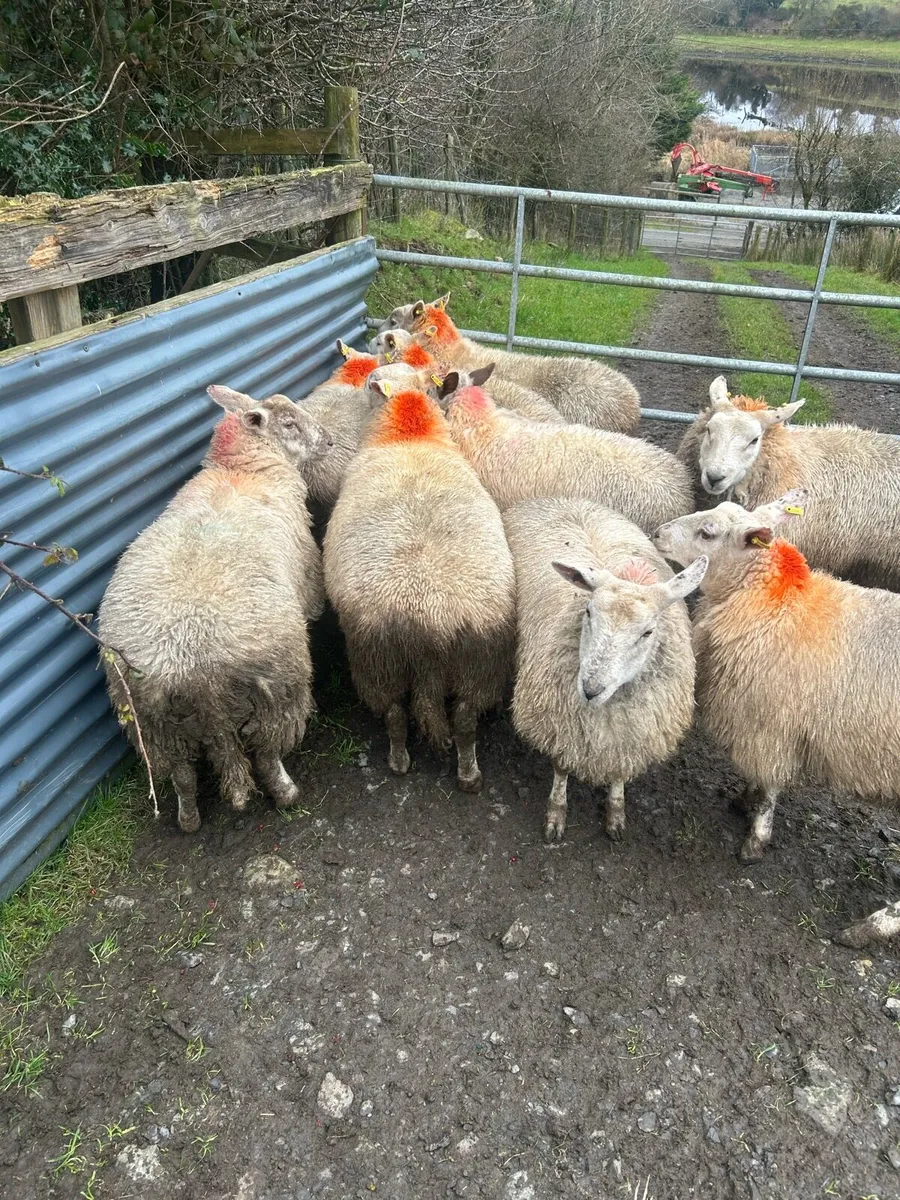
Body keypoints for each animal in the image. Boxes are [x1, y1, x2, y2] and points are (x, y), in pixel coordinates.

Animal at [99, 385, 332, 832]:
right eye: (289, 423)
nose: (328, 441)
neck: (243, 469)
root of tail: (198, 669)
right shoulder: (310, 579)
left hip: (153, 723)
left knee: (182, 774)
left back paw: (188, 817)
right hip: (277, 689)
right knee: (266, 753)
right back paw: (287, 793)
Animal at [323, 380, 515, 791]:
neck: (410, 436)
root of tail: (432, 621)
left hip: (378, 659)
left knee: (395, 713)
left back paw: (399, 761)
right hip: (480, 659)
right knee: (464, 719)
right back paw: (469, 774)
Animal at [504, 497, 706, 843]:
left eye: (648, 632)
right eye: (588, 611)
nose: (590, 689)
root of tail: (564, 498)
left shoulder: (629, 733)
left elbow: (619, 770)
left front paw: (616, 812)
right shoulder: (560, 720)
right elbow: (561, 767)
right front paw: (556, 814)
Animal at [652, 490, 900, 948]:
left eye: (708, 532)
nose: (657, 533)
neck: (769, 598)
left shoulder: (769, 722)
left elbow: (769, 786)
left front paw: (754, 841)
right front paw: (742, 800)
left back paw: (868, 928)